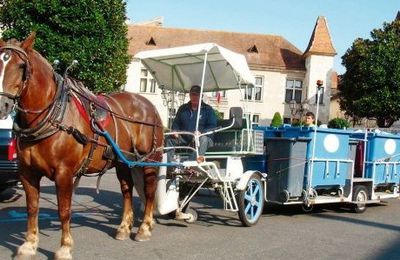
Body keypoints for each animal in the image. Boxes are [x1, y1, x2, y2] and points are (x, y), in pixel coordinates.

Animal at [0, 32, 164, 258]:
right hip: (123, 161)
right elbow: (32, 208)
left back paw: (145, 228)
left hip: (149, 160)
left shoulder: (64, 173)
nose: (2, 105)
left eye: (21, 66)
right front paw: (29, 245)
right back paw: (123, 227)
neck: (54, 115)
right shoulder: (27, 173)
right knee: (127, 190)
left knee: (149, 192)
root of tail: (149, 106)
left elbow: (64, 210)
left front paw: (65, 247)